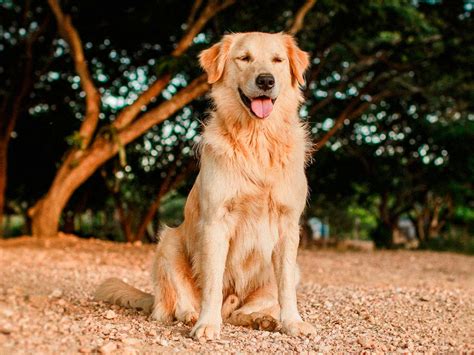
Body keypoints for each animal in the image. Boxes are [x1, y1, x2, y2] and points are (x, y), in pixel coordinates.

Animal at [96, 32, 314, 340]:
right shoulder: (215, 221)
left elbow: (285, 290)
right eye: (244, 58)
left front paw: (292, 322)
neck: (257, 139)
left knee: (239, 312)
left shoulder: (288, 225)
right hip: (169, 242)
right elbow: (212, 283)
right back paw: (191, 316)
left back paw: (260, 319)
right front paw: (207, 324)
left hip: (294, 269)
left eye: (277, 60)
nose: (266, 81)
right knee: (172, 307)